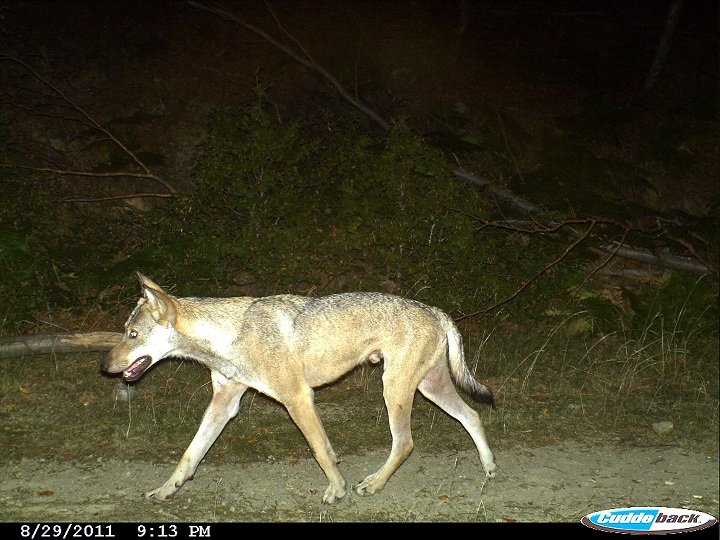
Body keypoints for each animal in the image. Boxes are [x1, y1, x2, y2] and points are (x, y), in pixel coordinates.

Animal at [102, 272, 496, 504]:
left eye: (132, 334)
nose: (104, 367)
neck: (228, 336)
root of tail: (433, 308)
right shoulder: (223, 404)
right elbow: (190, 453)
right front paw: (166, 488)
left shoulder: (297, 398)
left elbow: (320, 450)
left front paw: (336, 488)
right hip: (430, 387)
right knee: (472, 415)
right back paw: (489, 466)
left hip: (395, 390)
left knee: (406, 443)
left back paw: (373, 484)